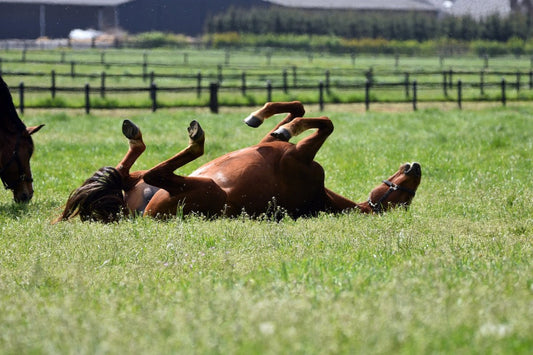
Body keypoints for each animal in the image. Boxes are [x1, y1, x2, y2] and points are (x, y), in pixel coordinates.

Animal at [54, 101, 420, 222]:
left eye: (406, 200)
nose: (415, 167)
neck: (320, 196)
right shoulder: (273, 145)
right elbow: (299, 110)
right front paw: (261, 117)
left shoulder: (299, 155)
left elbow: (325, 122)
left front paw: (288, 126)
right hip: (142, 182)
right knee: (128, 170)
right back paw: (134, 134)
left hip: (203, 188)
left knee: (159, 171)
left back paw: (195, 137)